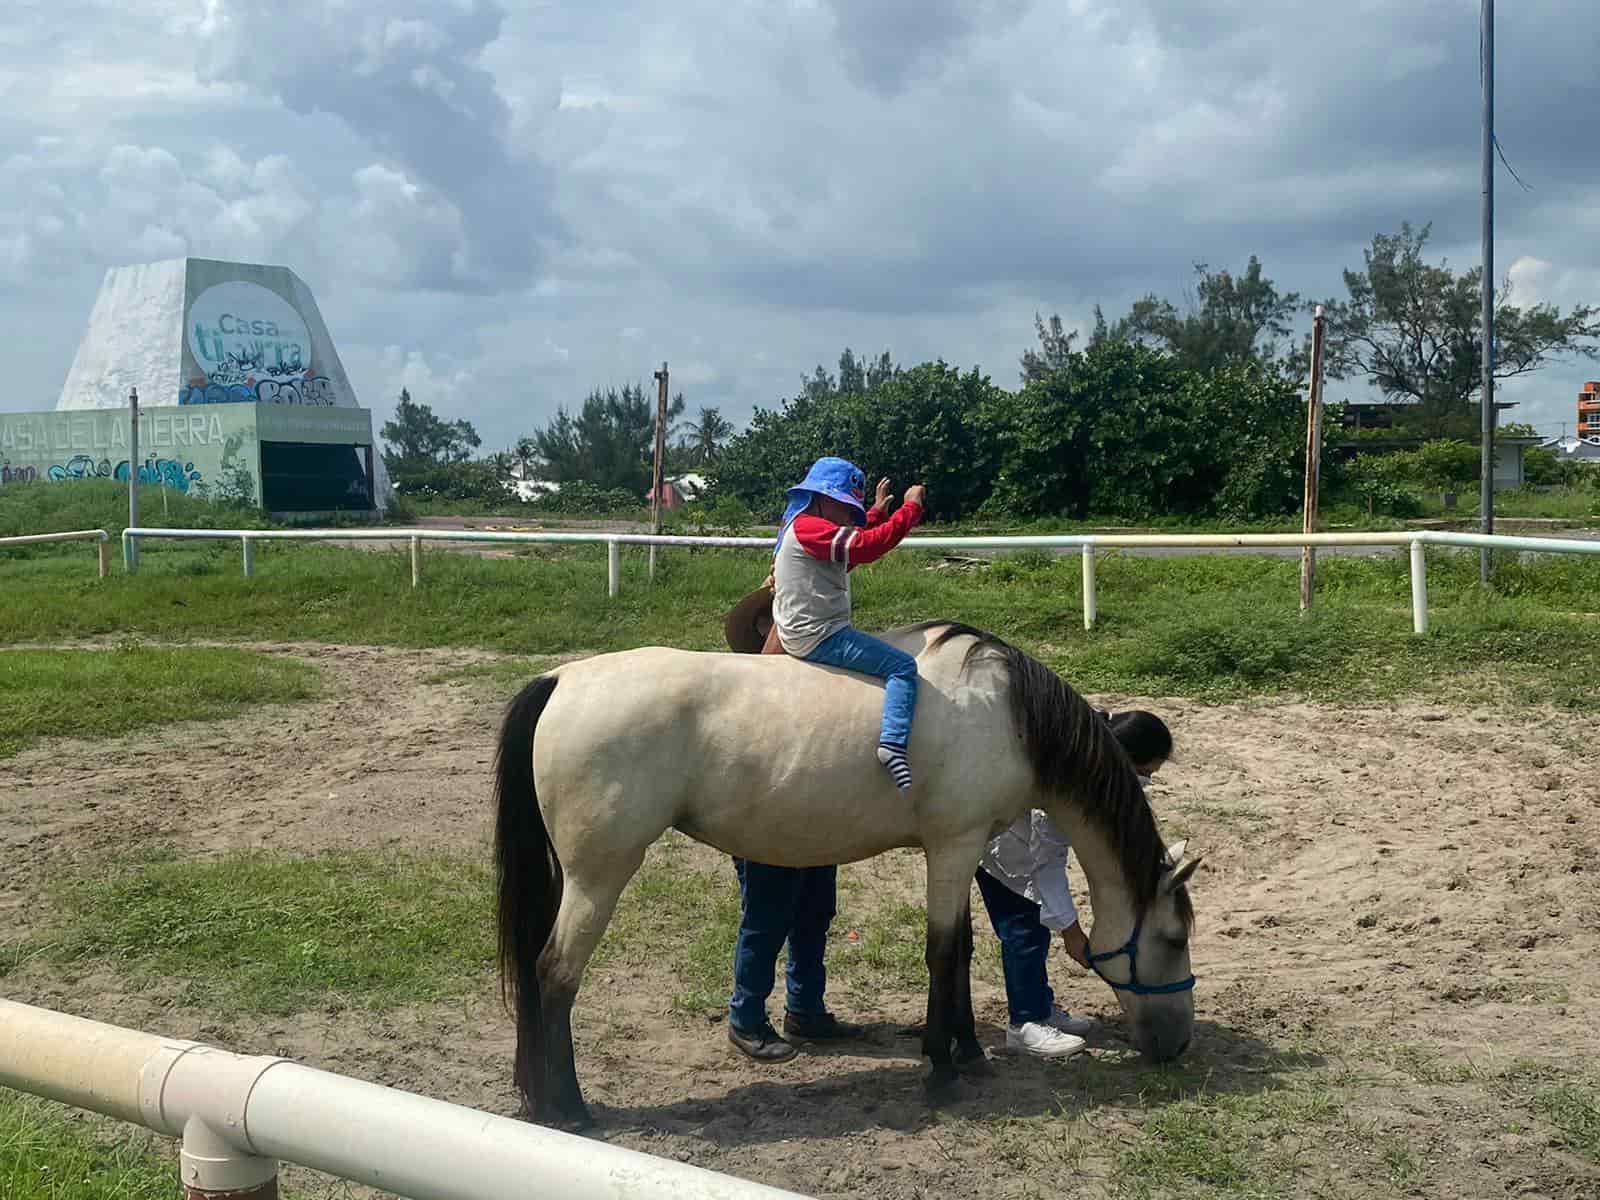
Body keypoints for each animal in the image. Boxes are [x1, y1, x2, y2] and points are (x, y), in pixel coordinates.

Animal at [492, 624, 1196, 1132]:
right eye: (1174, 938)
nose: (1177, 1046)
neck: (1008, 714)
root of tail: (561, 678)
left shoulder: (964, 851)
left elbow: (964, 949)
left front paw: (968, 1053)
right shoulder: (953, 846)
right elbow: (943, 953)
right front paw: (941, 1069)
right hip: (598, 878)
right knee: (554, 975)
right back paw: (569, 1108)